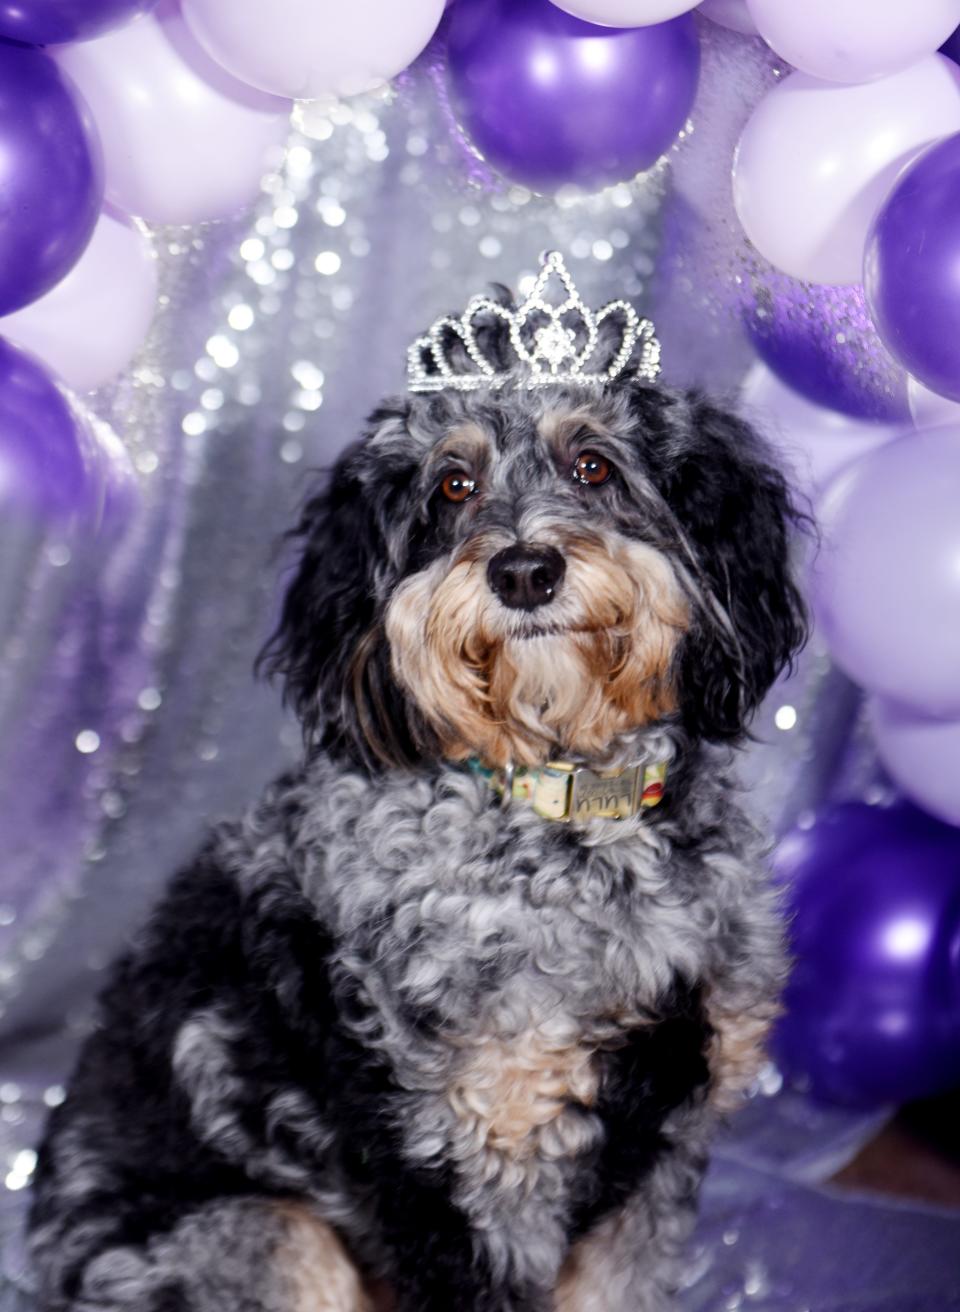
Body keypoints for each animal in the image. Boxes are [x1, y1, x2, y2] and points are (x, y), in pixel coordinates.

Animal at [26, 247, 807, 1312]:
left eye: (593, 464)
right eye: (453, 485)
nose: (524, 570)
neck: (562, 816)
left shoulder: (658, 1168)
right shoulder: (475, 1173)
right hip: (266, 1234)